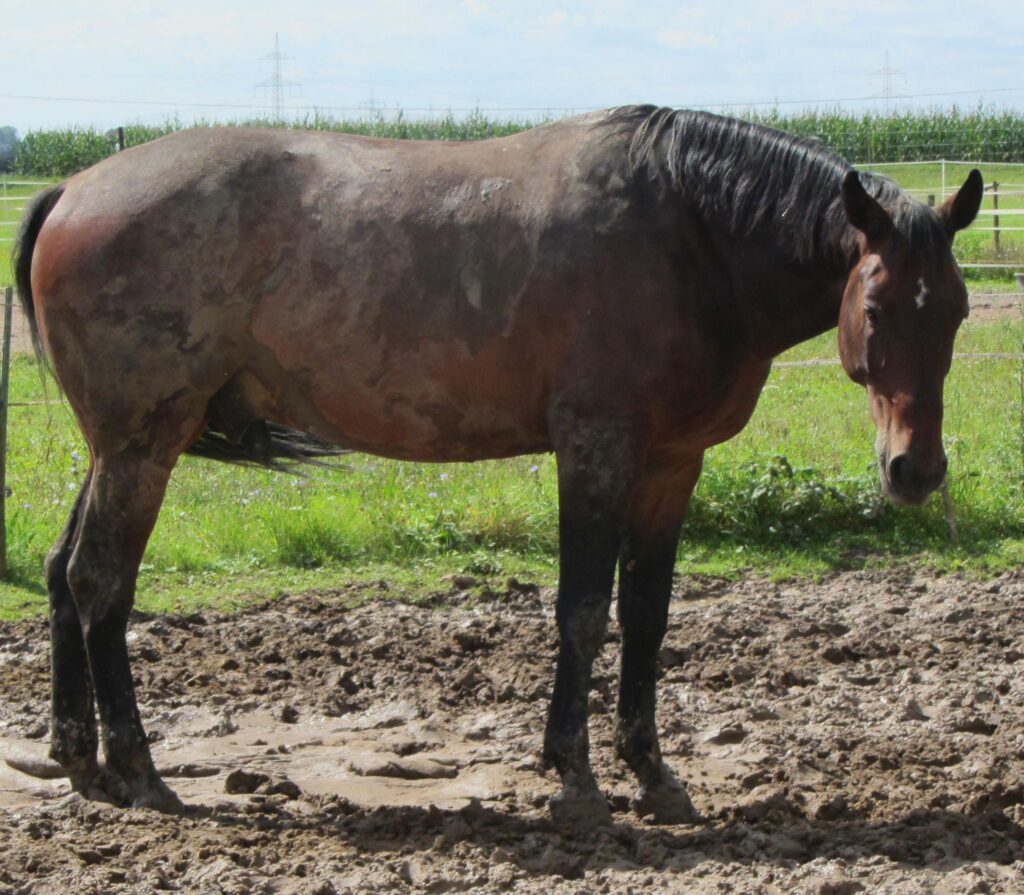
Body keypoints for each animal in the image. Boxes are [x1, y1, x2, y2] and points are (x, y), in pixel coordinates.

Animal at [14, 106, 982, 826]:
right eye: (877, 305)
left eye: (959, 310)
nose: (915, 470)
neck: (690, 234)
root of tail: (74, 187)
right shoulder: (596, 450)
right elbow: (584, 611)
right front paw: (577, 778)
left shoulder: (672, 464)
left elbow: (648, 617)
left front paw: (653, 772)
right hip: (144, 444)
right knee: (101, 581)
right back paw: (140, 770)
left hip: (116, 447)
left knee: (64, 573)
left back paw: (80, 758)